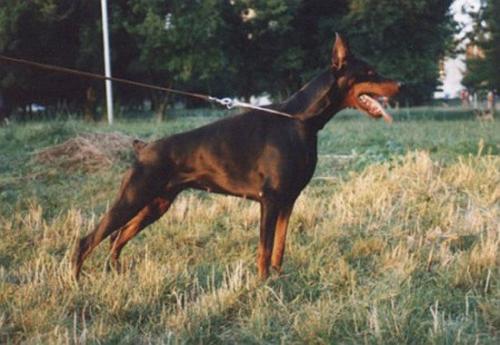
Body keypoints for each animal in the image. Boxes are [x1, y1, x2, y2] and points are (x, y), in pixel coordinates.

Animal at [72, 33, 400, 280]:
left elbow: (279, 247)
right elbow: (264, 249)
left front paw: (278, 279)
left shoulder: (288, 200)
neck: (300, 121)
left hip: (157, 203)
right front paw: (262, 285)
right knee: (88, 240)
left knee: (116, 237)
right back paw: (76, 280)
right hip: (132, 197)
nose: (401, 85)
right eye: (369, 73)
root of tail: (142, 148)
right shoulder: (269, 200)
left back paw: (115, 272)